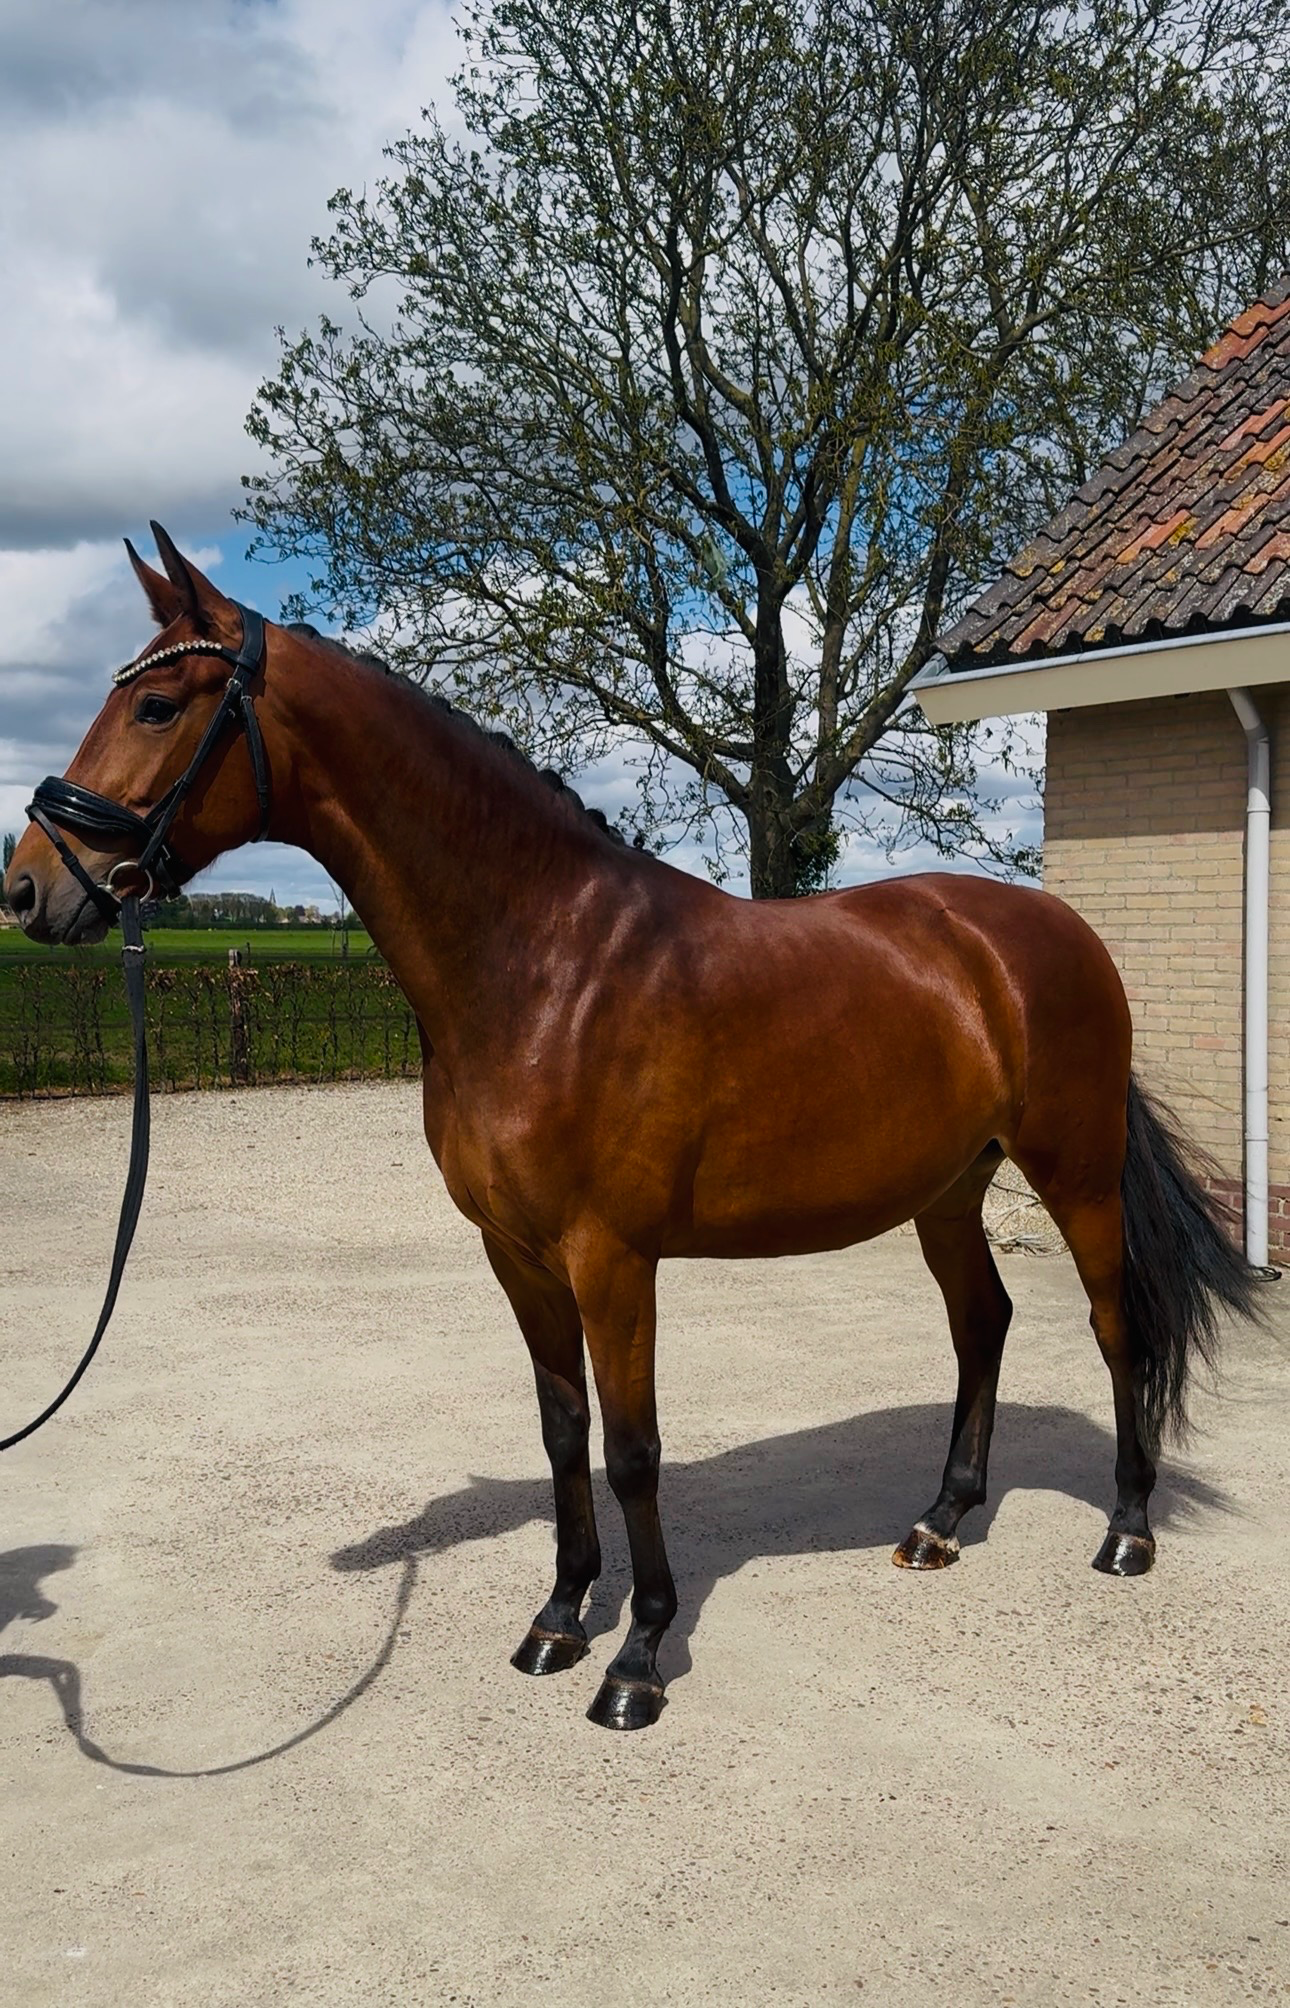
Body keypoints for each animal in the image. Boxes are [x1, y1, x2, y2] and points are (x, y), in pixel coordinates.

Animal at [5, 526, 1259, 1731]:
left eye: (158, 705)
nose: (27, 890)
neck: (544, 962)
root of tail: (1046, 928)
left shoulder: (612, 1257)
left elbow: (634, 1448)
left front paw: (639, 1659)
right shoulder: (515, 1255)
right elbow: (564, 1434)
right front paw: (560, 1618)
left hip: (1075, 1171)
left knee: (1113, 1324)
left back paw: (1126, 1530)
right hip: (948, 1189)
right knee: (983, 1323)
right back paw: (942, 1519)